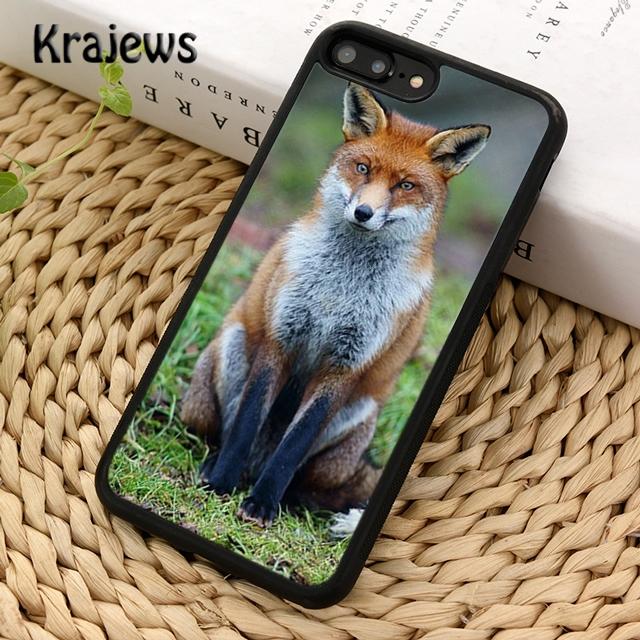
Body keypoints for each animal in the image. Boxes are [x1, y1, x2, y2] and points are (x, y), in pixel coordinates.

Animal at [180, 82, 490, 528]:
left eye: (405, 186)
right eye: (362, 168)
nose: (363, 212)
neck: (340, 289)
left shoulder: (345, 366)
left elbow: (292, 447)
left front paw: (263, 503)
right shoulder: (281, 339)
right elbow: (245, 423)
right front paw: (222, 483)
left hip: (355, 418)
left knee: (306, 483)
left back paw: (287, 498)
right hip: (228, 357)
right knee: (221, 433)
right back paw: (218, 465)